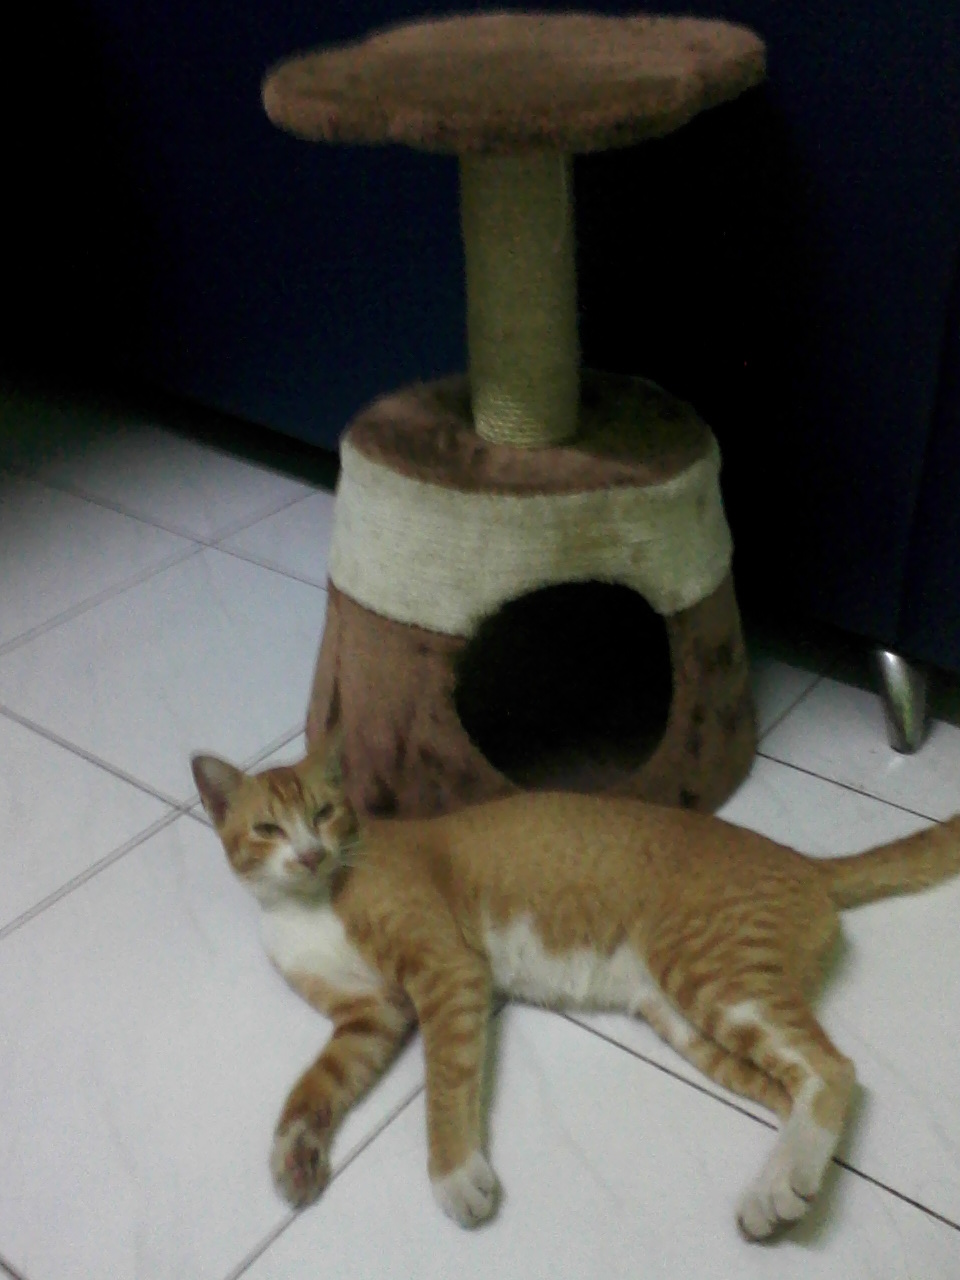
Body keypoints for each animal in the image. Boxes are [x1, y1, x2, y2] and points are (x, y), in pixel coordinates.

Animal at [192, 738, 960, 1240]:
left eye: (325, 813)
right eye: (267, 828)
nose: (309, 854)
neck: (308, 905)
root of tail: (807, 861)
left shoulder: (446, 972)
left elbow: (444, 1082)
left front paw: (454, 1174)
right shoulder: (369, 1018)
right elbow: (316, 1083)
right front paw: (294, 1152)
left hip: (709, 971)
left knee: (835, 1068)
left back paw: (777, 1183)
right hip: (688, 1021)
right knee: (793, 1087)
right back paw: (787, 1182)